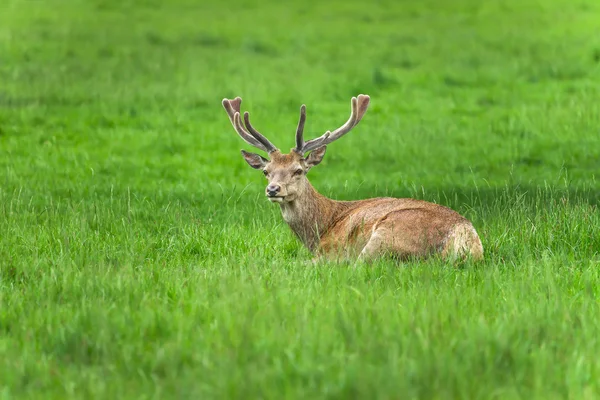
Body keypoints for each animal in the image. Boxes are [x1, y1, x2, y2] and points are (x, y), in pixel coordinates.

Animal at [220, 93, 482, 262]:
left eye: (298, 170)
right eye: (266, 172)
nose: (273, 189)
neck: (319, 230)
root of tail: (461, 237)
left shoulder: (329, 252)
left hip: (386, 236)